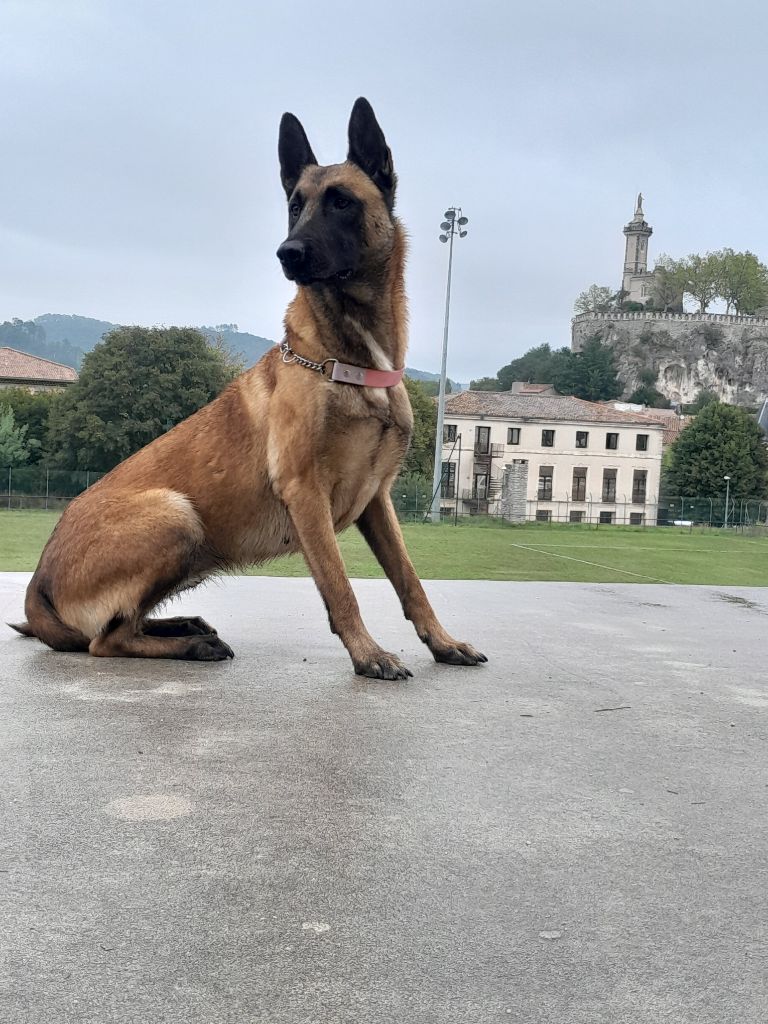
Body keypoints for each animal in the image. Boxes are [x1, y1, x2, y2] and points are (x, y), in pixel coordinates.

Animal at [13, 96, 487, 679]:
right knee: (106, 640)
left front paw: (443, 643)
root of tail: (38, 586)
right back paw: (192, 644)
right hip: (178, 515)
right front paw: (368, 653)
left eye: (342, 202)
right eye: (295, 205)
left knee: (122, 625)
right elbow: (340, 587)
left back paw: (186, 626)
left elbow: (410, 580)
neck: (346, 361)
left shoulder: (378, 502)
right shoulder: (306, 494)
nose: (288, 252)